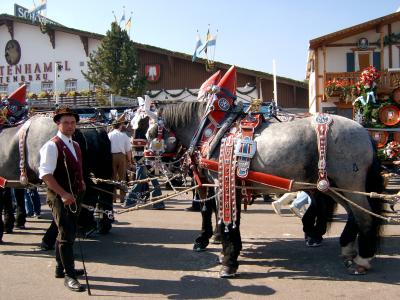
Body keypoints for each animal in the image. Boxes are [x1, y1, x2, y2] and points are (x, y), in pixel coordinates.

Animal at [150, 102, 384, 278]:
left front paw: (228, 262)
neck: (215, 132)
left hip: (348, 184)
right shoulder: (229, 184)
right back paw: (346, 249)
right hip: (336, 186)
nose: (146, 157)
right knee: (352, 214)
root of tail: (365, 133)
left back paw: (362, 260)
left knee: (365, 217)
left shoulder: (221, 183)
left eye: (149, 130)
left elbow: (224, 221)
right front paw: (228, 253)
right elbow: (228, 219)